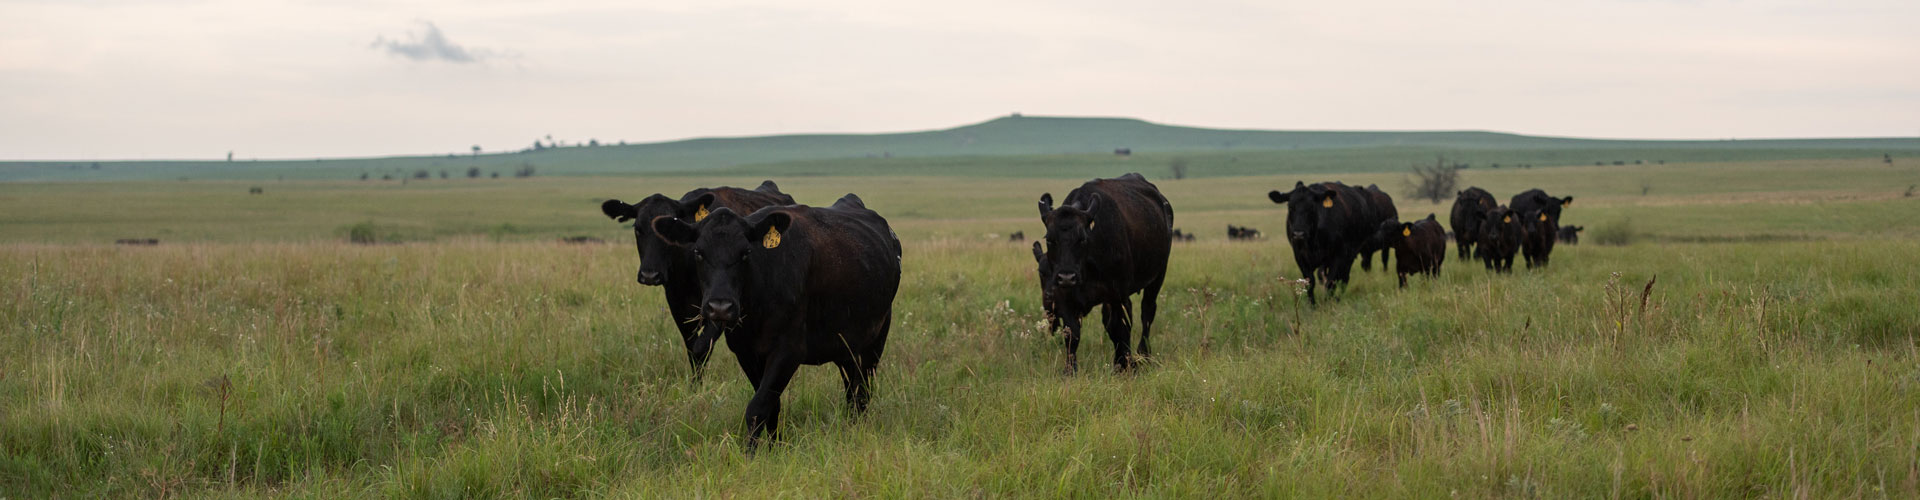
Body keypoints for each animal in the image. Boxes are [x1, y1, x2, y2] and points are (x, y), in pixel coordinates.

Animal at [595, 181, 791, 376]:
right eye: (637, 229)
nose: (649, 275)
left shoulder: (719, 306)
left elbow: (701, 348)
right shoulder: (678, 305)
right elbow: (692, 351)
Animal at [1036, 174, 1167, 373]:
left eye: (1082, 239)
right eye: (1050, 239)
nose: (1067, 277)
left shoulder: (1116, 295)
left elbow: (1119, 329)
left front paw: (1124, 365)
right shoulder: (1065, 298)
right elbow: (1072, 333)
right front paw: (1070, 370)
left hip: (1157, 277)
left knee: (1147, 313)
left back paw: (1143, 354)